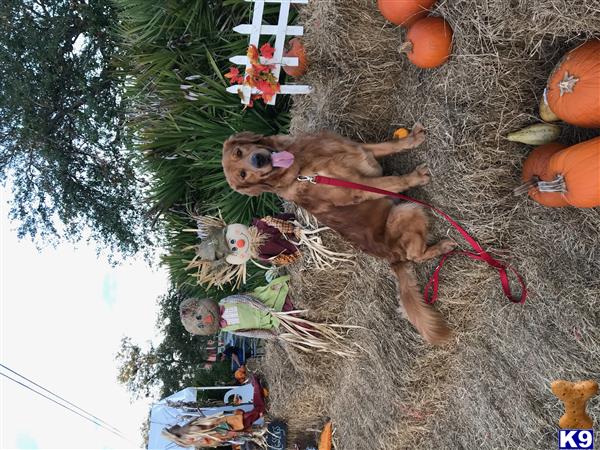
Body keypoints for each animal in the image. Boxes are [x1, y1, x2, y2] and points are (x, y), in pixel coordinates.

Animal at [223, 126, 458, 344]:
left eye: (239, 151)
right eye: (243, 174)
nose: (258, 160)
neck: (300, 165)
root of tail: (392, 257)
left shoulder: (359, 148)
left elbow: (390, 145)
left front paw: (413, 139)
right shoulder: (361, 187)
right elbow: (394, 180)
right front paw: (416, 177)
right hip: (408, 210)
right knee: (416, 255)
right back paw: (443, 247)